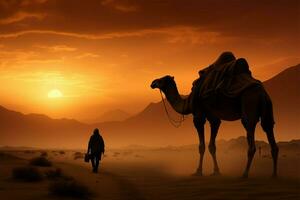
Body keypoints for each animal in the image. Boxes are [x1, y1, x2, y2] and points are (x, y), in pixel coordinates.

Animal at [151, 54, 280, 177]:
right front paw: (216, 171)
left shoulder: (199, 114)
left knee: (250, 134)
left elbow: (201, 146)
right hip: (267, 107)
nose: (152, 83)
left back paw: (244, 174)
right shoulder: (214, 118)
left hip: (249, 102)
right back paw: (273, 174)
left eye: (162, 80)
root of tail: (262, 93)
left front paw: (198, 171)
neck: (188, 101)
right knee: (269, 131)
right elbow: (212, 146)